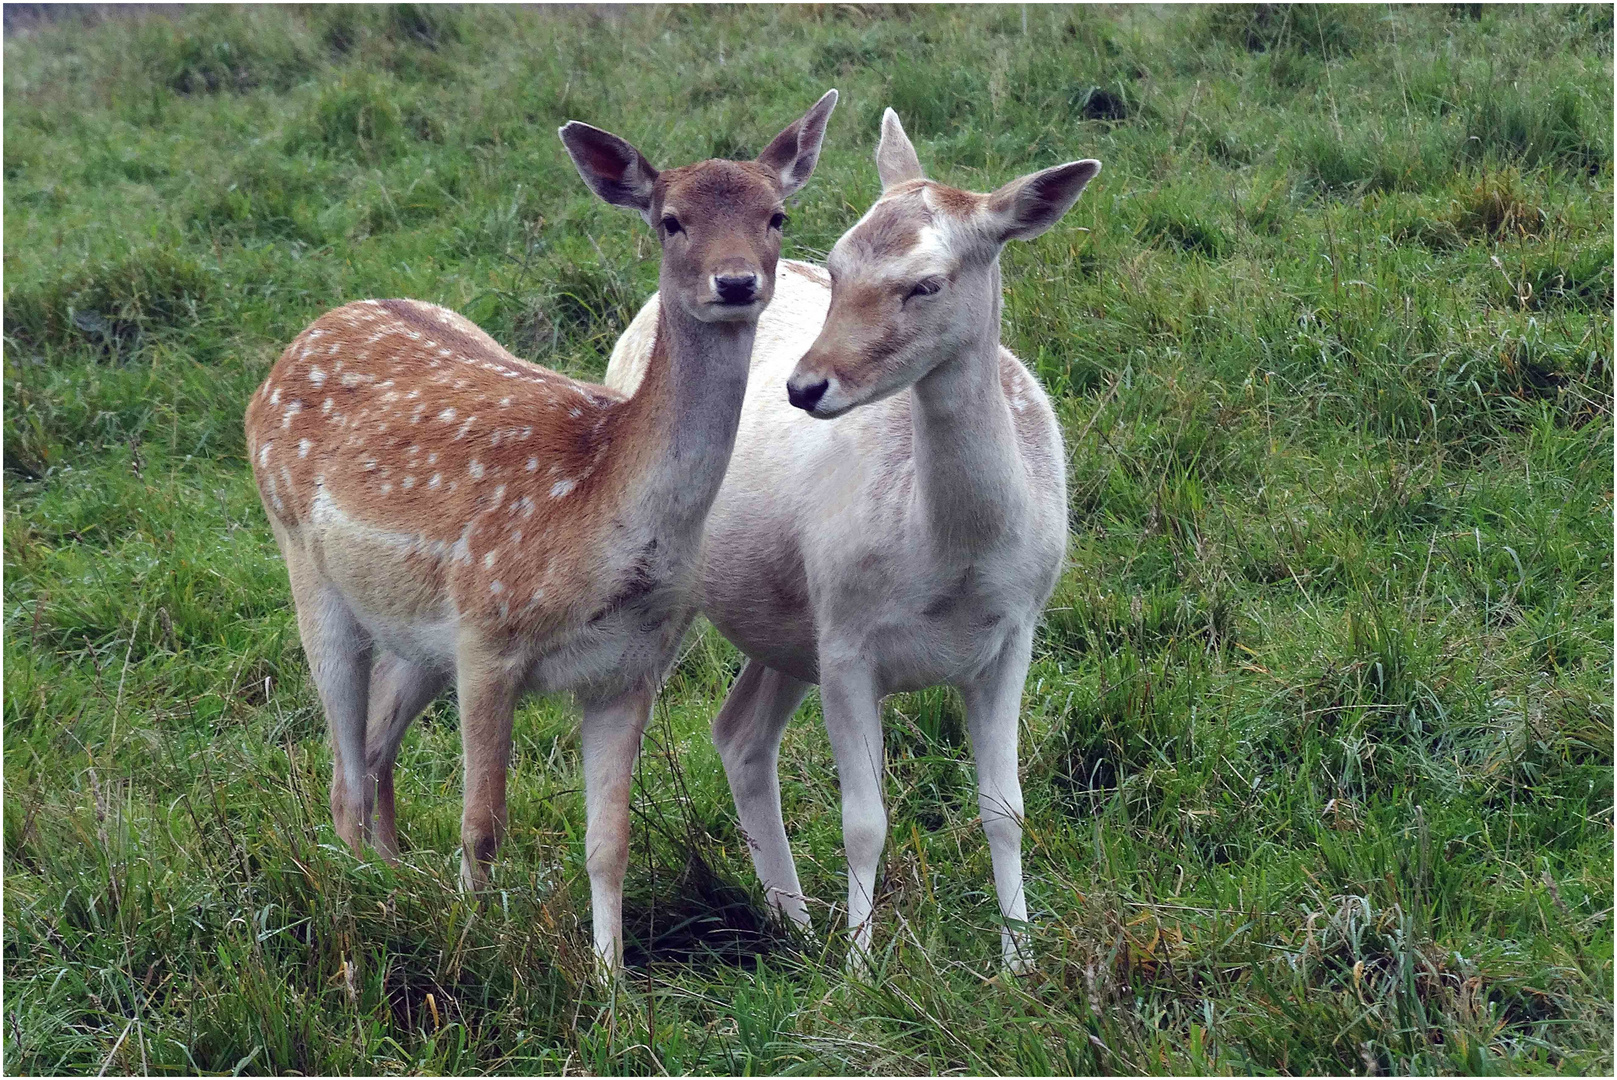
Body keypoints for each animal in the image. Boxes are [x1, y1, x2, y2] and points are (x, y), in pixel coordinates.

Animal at [245, 90, 840, 970]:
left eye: (777, 215)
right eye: (669, 220)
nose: (735, 282)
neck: (603, 519)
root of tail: (289, 351)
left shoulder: (630, 669)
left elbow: (608, 843)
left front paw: (609, 983)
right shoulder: (490, 636)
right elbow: (482, 826)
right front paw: (473, 950)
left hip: (420, 631)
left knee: (379, 743)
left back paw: (394, 881)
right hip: (308, 567)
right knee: (345, 768)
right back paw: (364, 907)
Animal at [604, 109, 1099, 970]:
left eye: (927, 282)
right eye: (835, 267)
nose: (805, 386)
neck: (952, 562)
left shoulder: (1014, 633)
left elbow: (1004, 807)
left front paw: (1019, 962)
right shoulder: (845, 637)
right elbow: (863, 820)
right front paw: (864, 971)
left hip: (783, 621)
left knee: (738, 732)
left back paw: (795, 923)